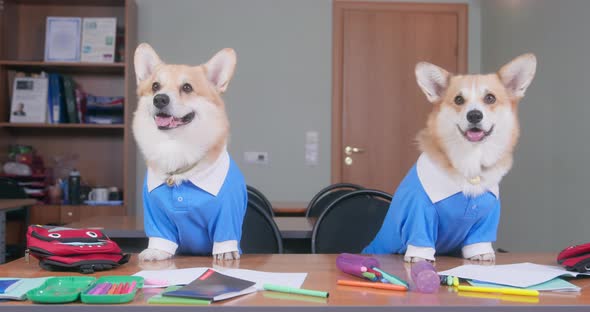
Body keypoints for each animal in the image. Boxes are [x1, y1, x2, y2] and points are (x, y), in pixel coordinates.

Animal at [134, 43, 247, 260]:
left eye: (187, 87)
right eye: (155, 86)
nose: (159, 99)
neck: (175, 146)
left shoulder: (228, 212)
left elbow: (225, 235)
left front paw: (226, 253)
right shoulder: (155, 214)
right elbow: (160, 237)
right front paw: (156, 251)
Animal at [364, 54, 540, 264]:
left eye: (490, 98)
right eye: (458, 99)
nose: (474, 115)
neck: (471, 162)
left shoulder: (487, 217)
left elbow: (479, 241)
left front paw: (481, 253)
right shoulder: (419, 212)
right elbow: (420, 237)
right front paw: (419, 257)